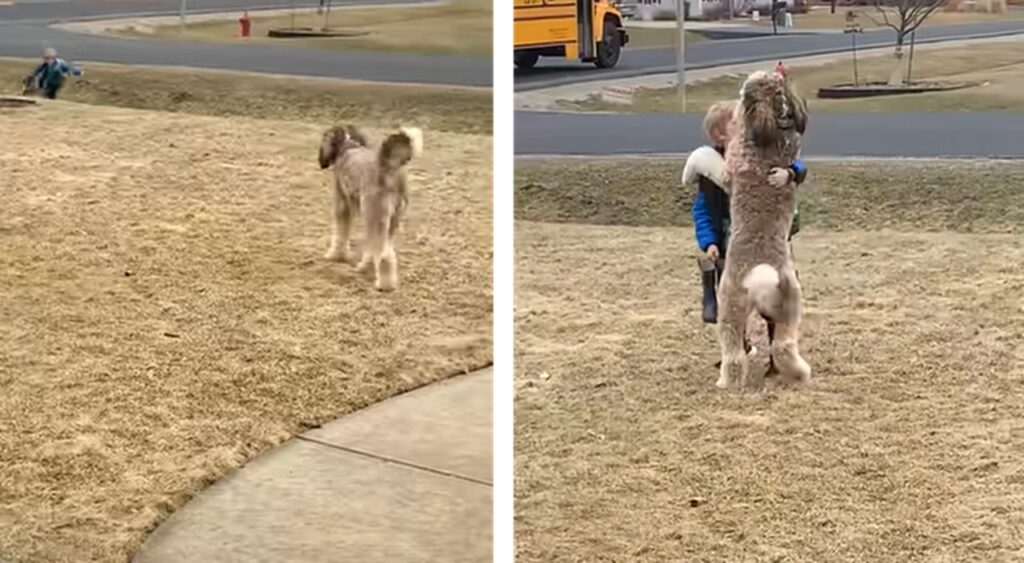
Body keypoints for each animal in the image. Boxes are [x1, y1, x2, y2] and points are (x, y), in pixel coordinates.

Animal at [315, 123, 419, 290]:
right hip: (391, 220)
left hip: (374, 215)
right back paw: (366, 267)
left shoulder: (342, 205)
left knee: (383, 255)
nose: (321, 161)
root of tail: (389, 166)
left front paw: (335, 255)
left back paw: (383, 284)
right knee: (385, 249)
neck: (347, 147)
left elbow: (340, 233)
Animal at [716, 68, 811, 391]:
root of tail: (761, 273)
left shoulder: (731, 166)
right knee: (782, 346)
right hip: (789, 309)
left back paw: (725, 383)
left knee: (734, 353)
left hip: (728, 309)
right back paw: (800, 374)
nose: (738, 94)